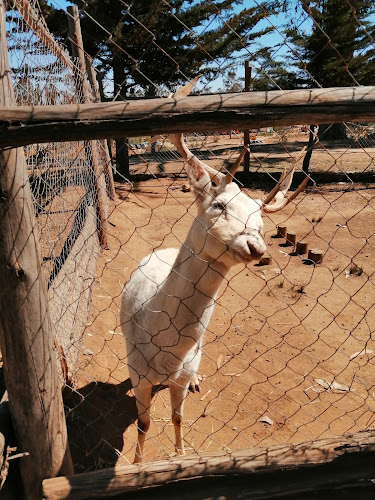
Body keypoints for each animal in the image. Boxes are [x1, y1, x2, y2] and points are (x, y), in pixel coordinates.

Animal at [120, 78, 308, 464]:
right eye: (219, 205)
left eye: (261, 221)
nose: (257, 247)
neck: (164, 348)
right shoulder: (137, 373)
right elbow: (144, 424)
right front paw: (138, 463)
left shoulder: (179, 373)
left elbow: (177, 417)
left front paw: (179, 455)